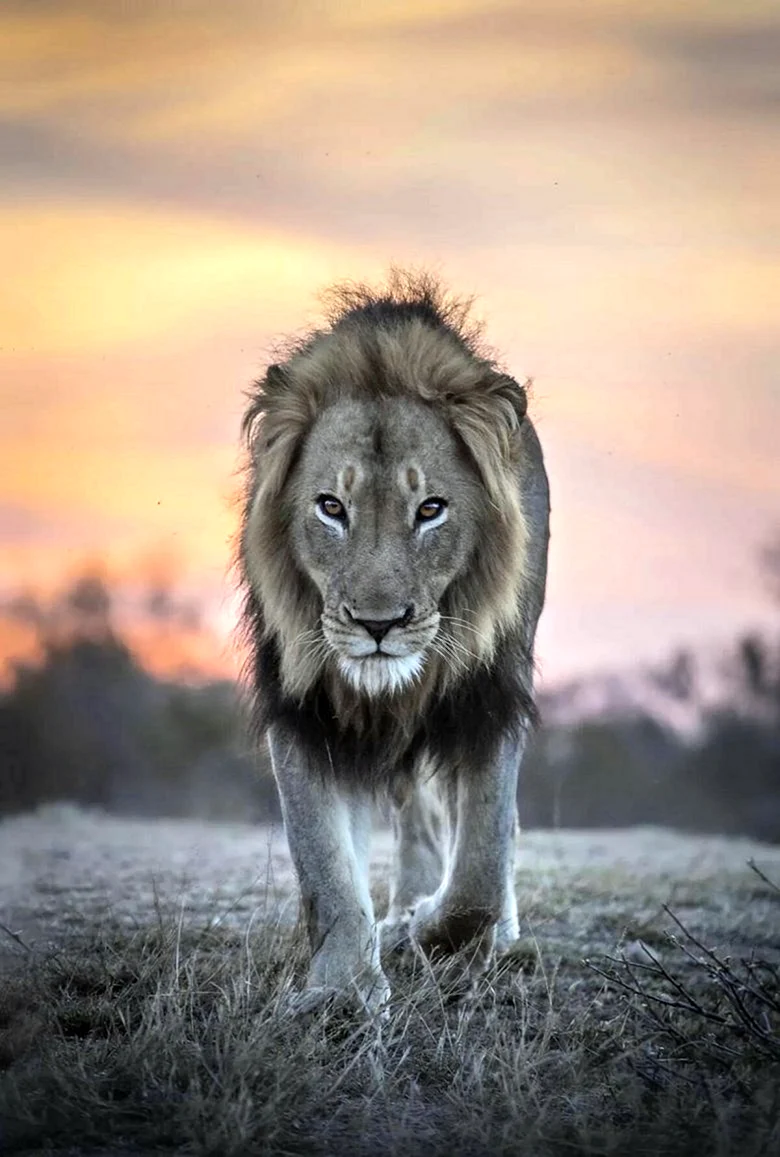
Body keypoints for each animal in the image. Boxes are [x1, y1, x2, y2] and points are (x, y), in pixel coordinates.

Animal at [238, 271, 550, 1014]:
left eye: (431, 509)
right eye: (331, 507)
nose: (378, 624)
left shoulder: (491, 697)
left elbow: (480, 863)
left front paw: (433, 932)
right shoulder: (306, 708)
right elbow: (323, 860)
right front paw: (342, 990)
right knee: (416, 819)